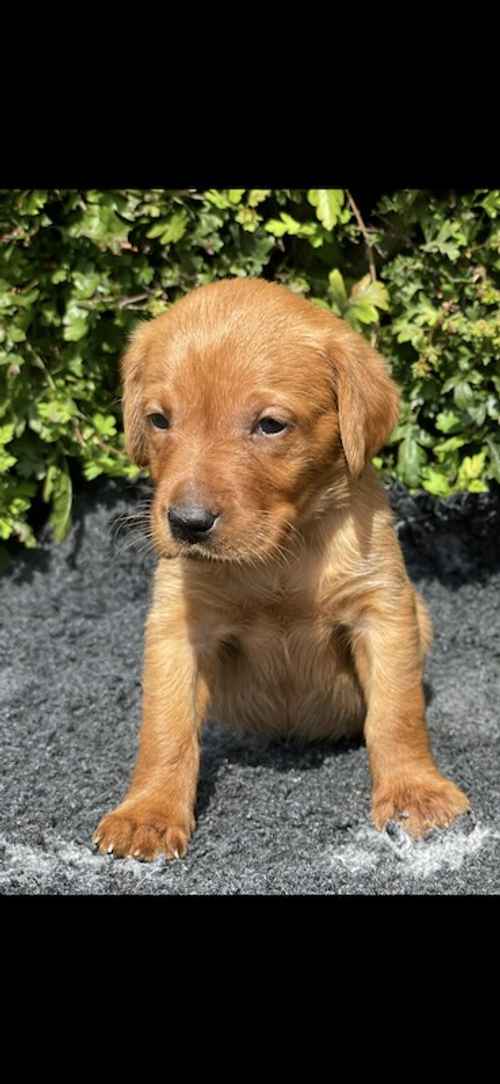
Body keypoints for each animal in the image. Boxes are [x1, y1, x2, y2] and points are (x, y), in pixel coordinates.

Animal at [92, 275, 468, 858]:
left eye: (270, 426)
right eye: (159, 420)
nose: (187, 522)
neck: (278, 558)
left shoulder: (382, 609)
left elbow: (397, 712)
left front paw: (415, 793)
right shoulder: (178, 625)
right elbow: (165, 726)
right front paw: (147, 813)